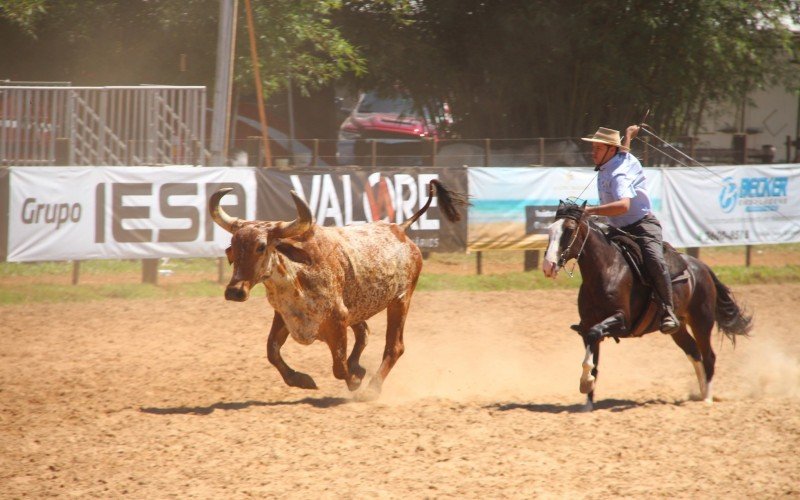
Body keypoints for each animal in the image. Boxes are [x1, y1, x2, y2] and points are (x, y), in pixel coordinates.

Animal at [540, 199, 752, 410]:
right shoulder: (587, 326)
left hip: (702, 321)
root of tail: (702, 267)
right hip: (679, 328)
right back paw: (700, 394)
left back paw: (707, 399)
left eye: (569, 229)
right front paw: (588, 403)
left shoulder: (621, 321)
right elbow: (594, 361)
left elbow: (594, 338)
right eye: (549, 230)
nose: (548, 266)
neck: (608, 270)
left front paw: (585, 383)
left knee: (708, 356)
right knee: (694, 353)